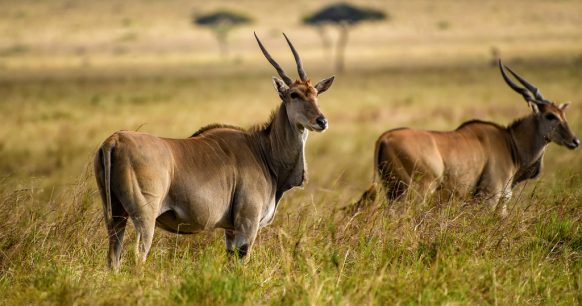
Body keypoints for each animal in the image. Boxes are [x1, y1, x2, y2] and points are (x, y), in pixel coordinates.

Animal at [93, 32, 336, 268]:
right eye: (294, 94)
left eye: (316, 94)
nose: (322, 121)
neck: (264, 151)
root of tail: (114, 140)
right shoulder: (247, 224)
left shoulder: (230, 230)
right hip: (144, 217)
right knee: (137, 256)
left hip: (116, 216)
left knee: (113, 258)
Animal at [356, 60, 580, 215]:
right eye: (550, 116)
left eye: (563, 114)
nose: (575, 141)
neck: (511, 142)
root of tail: (385, 137)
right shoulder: (491, 196)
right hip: (417, 192)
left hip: (393, 192)